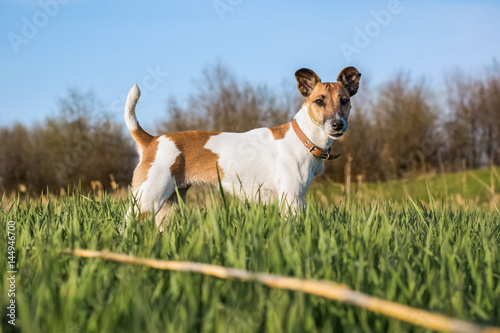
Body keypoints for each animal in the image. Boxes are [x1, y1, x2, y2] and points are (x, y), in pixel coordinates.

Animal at [124, 67, 360, 228]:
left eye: (344, 100)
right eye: (319, 101)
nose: (338, 124)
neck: (304, 138)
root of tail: (152, 141)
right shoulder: (291, 199)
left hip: (169, 205)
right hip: (146, 201)